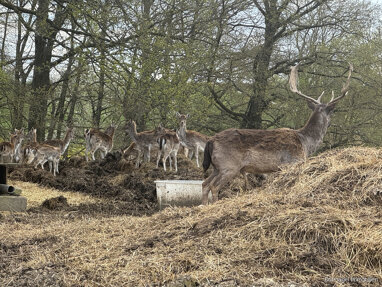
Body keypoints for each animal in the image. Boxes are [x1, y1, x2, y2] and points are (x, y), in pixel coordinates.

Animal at [201, 64, 354, 206]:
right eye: (332, 112)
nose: (330, 123)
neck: (306, 142)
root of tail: (211, 141)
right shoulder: (291, 162)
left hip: (217, 167)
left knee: (204, 183)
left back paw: (203, 205)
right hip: (229, 166)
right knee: (214, 186)